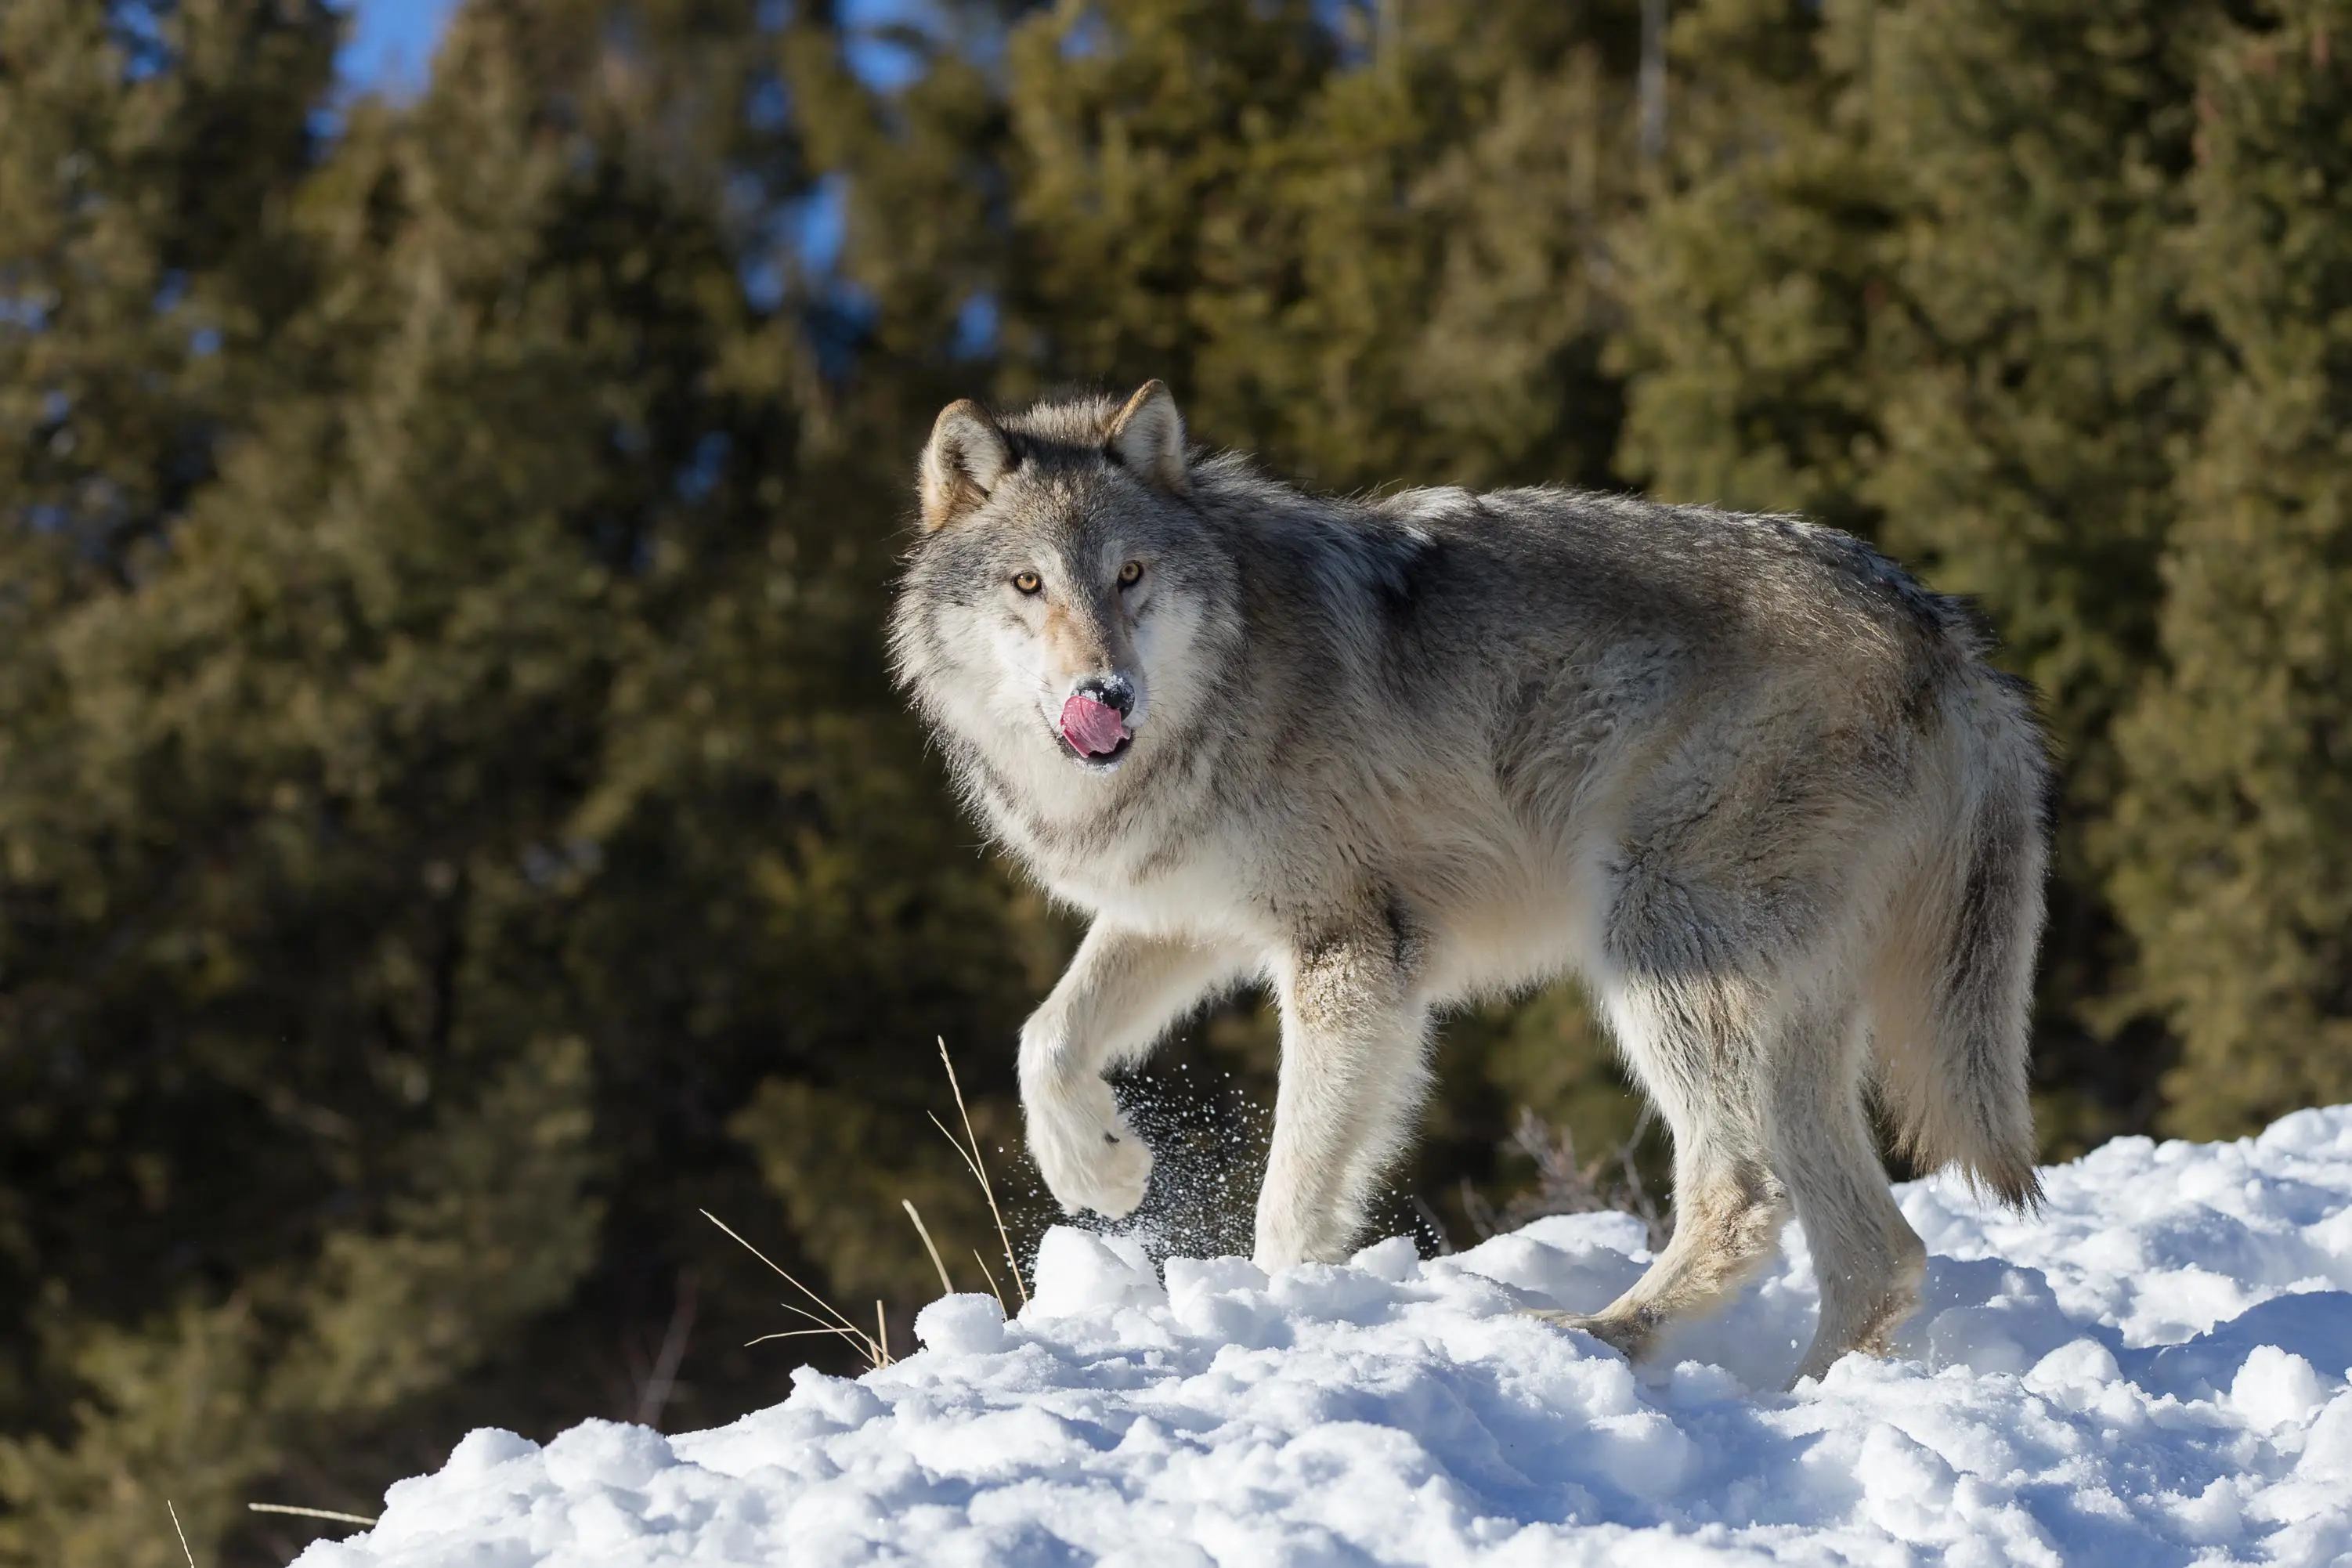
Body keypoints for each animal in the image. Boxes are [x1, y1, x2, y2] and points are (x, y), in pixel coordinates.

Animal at [890, 381, 2049, 1381]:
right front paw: (1101, 1167)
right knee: (1877, 1253)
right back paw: (1793, 1395)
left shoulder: (1350, 949)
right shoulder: (1191, 918)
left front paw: (1282, 1315)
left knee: (1746, 1196)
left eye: (1129, 575)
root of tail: (1944, 632)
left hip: (1656, 956)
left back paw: (1595, 1337)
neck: (1225, 681)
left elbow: (1291, 1194)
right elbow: (1045, 1036)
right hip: (1782, 1024)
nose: (1108, 695)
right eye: (1029, 584)